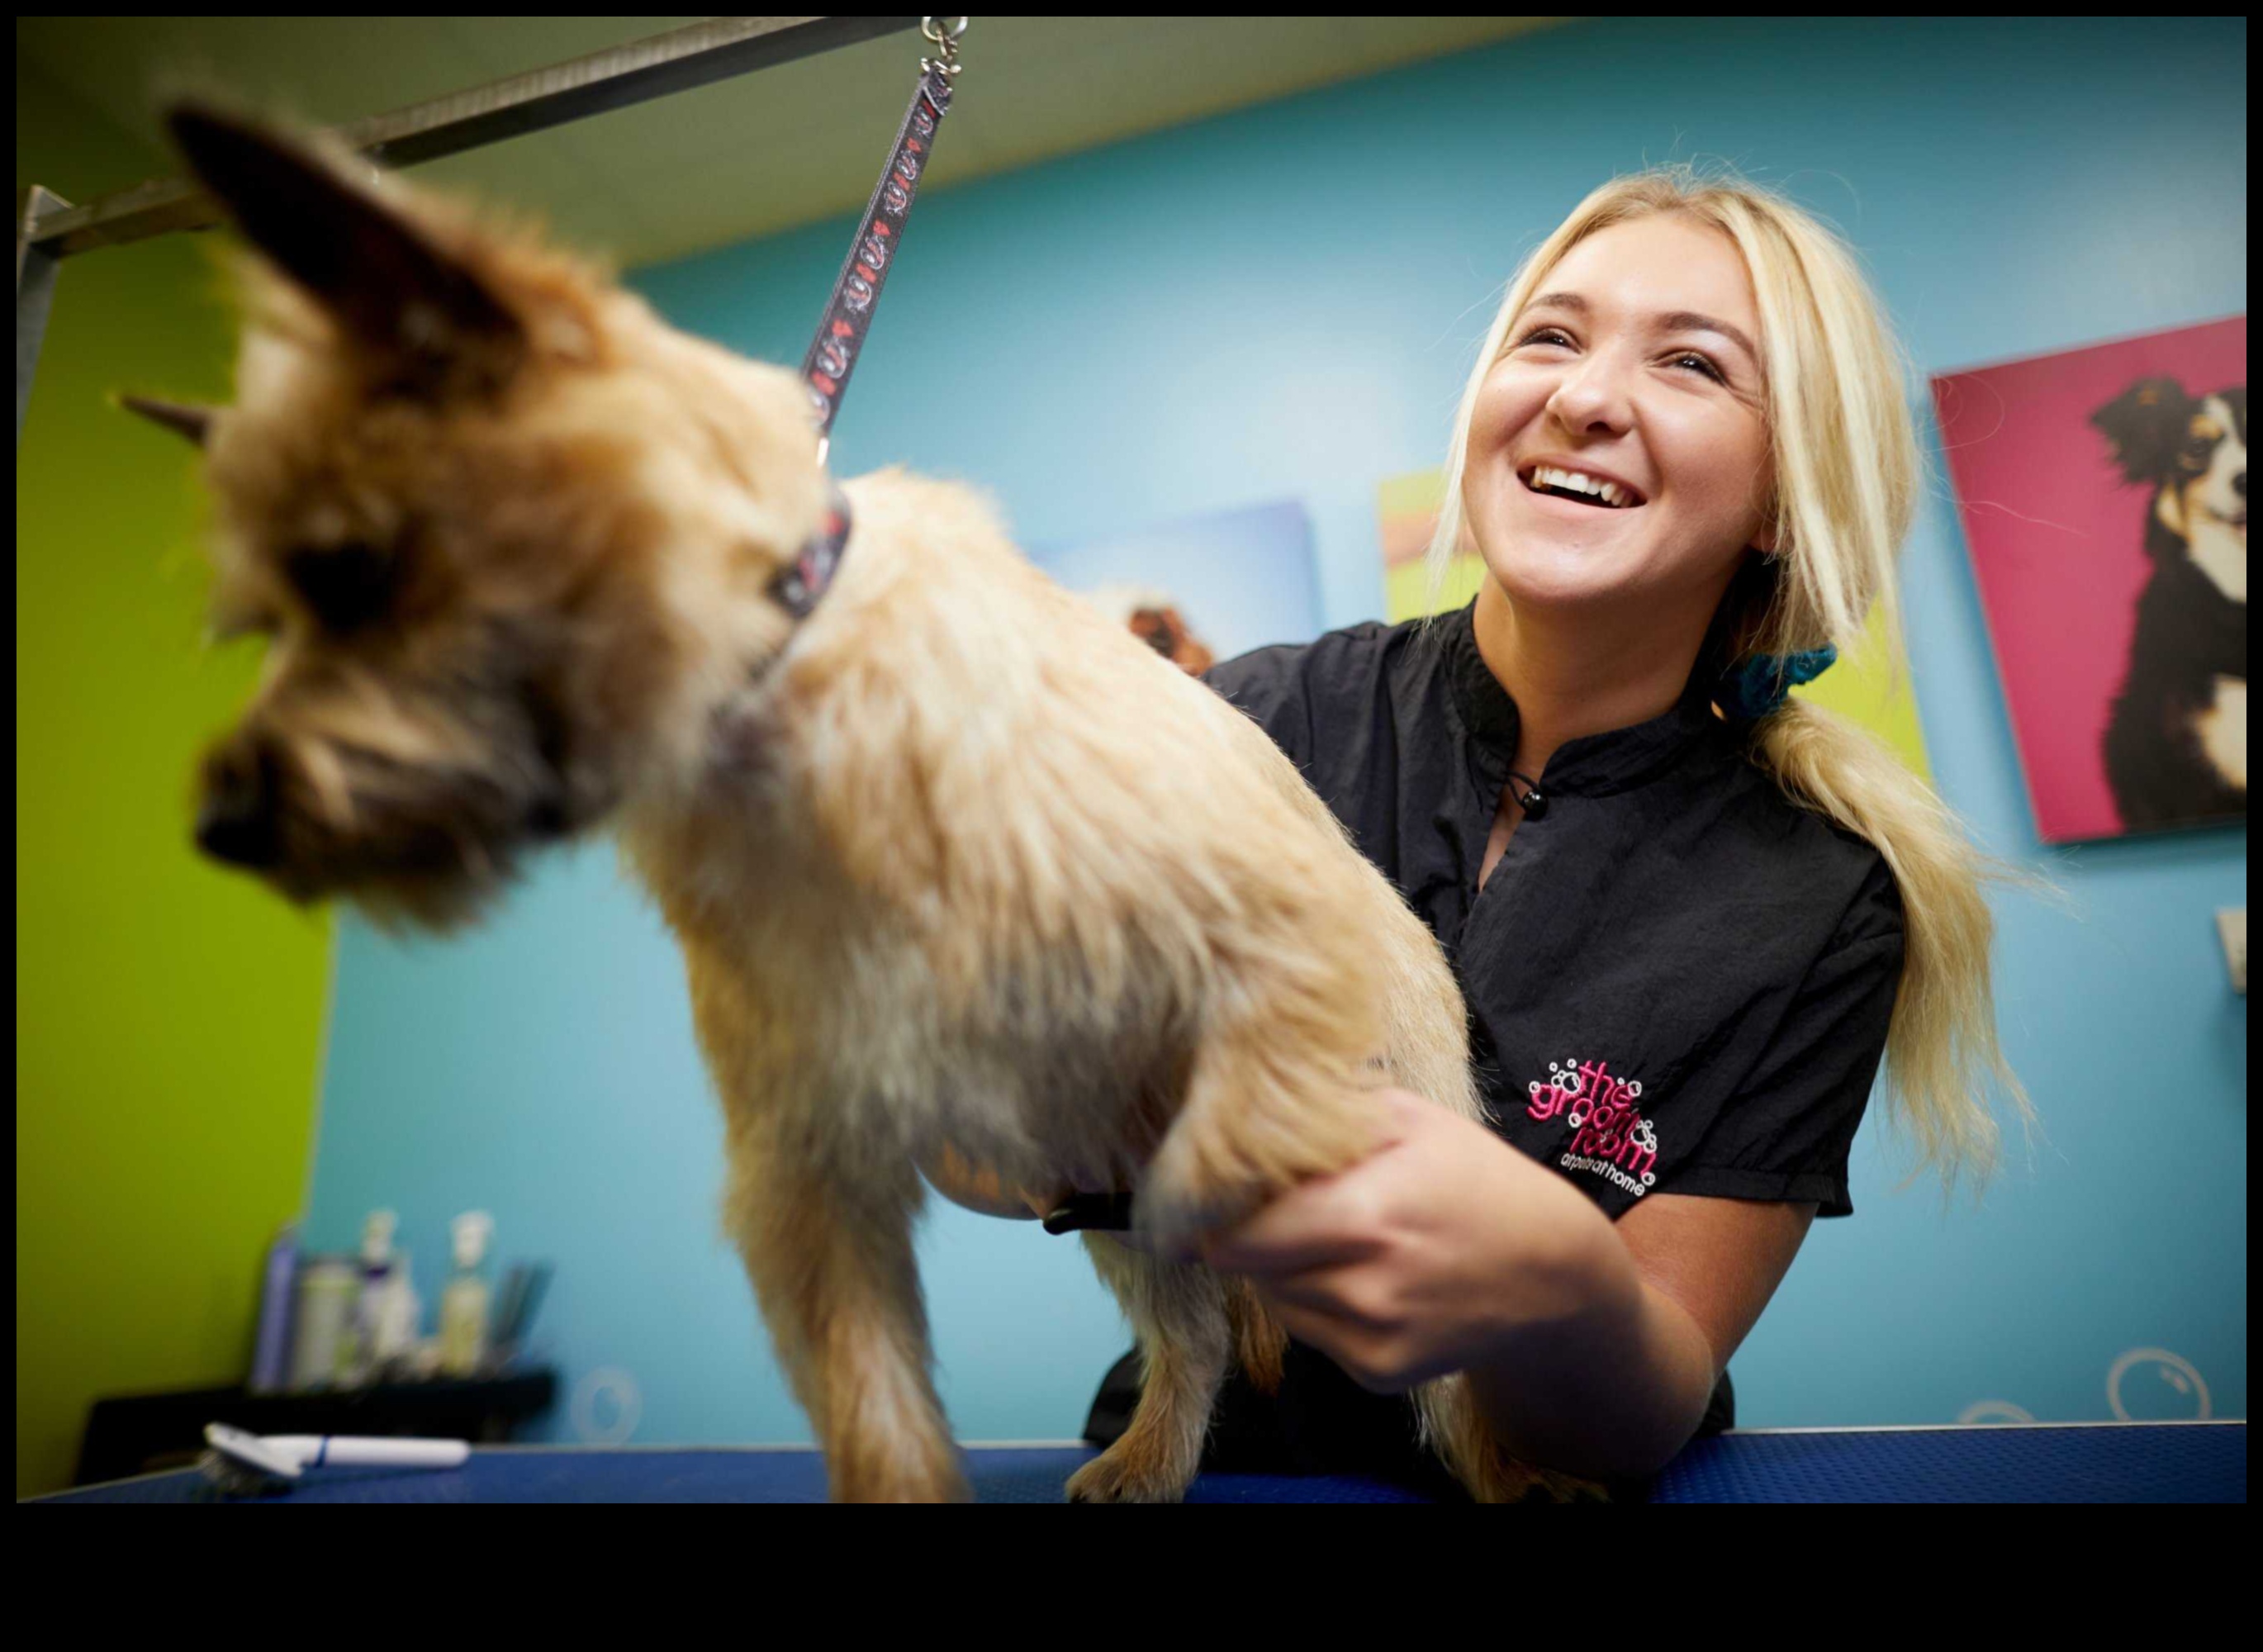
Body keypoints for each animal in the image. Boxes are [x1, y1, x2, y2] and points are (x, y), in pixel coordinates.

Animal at [128, 97, 1592, 1502]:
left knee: (1430, 1357)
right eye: (259, 622)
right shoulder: (814, 1177)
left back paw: (1512, 1471)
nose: (217, 826)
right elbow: (878, 1405)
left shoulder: (1278, 938)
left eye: (352, 569)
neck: (781, 695)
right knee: (1188, 1331)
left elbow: (1231, 1150)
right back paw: (1150, 1458)